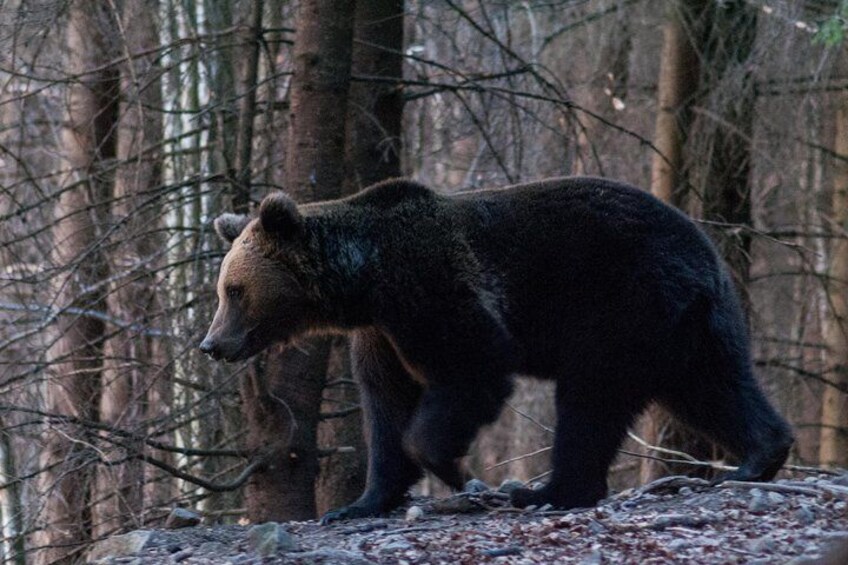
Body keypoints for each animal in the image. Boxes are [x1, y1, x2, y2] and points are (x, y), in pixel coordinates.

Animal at [200, 177, 796, 524]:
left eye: (235, 290)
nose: (212, 343)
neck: (364, 280)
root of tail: (703, 246)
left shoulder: (432, 289)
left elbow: (473, 368)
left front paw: (455, 469)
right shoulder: (382, 334)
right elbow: (385, 409)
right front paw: (358, 504)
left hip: (622, 302)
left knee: (592, 398)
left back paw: (548, 490)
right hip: (689, 325)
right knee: (712, 387)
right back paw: (758, 456)